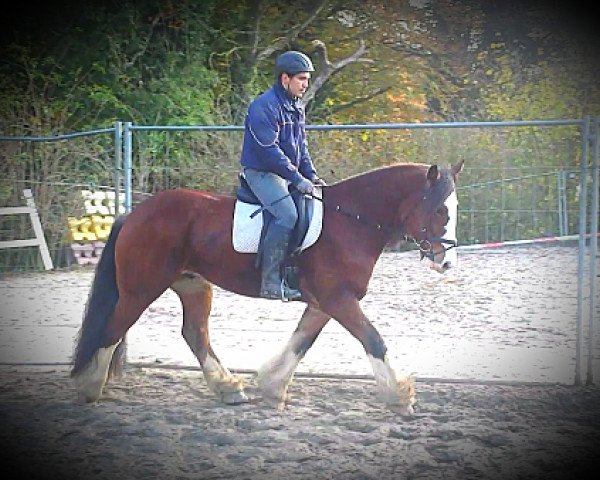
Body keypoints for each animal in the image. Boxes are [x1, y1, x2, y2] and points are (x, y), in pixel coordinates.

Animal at [70, 159, 464, 414]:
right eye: (439, 210)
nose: (446, 262)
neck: (351, 222)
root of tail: (135, 213)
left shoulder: (324, 303)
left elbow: (301, 342)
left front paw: (272, 387)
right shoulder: (339, 300)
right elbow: (373, 340)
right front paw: (400, 396)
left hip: (193, 286)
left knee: (194, 333)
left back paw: (228, 388)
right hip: (140, 289)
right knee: (113, 328)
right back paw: (89, 388)